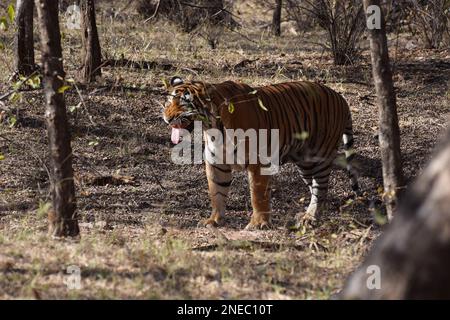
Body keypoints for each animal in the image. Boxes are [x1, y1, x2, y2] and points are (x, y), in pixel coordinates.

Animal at [162, 76, 358, 229]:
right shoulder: (217, 163)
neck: (211, 128)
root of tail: (340, 97)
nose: (167, 118)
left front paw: (258, 224)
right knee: (318, 190)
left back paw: (310, 218)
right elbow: (216, 193)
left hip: (318, 156)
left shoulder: (258, 162)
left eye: (183, 103)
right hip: (305, 164)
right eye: (168, 102)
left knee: (320, 188)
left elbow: (257, 194)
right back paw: (309, 216)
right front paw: (214, 220)